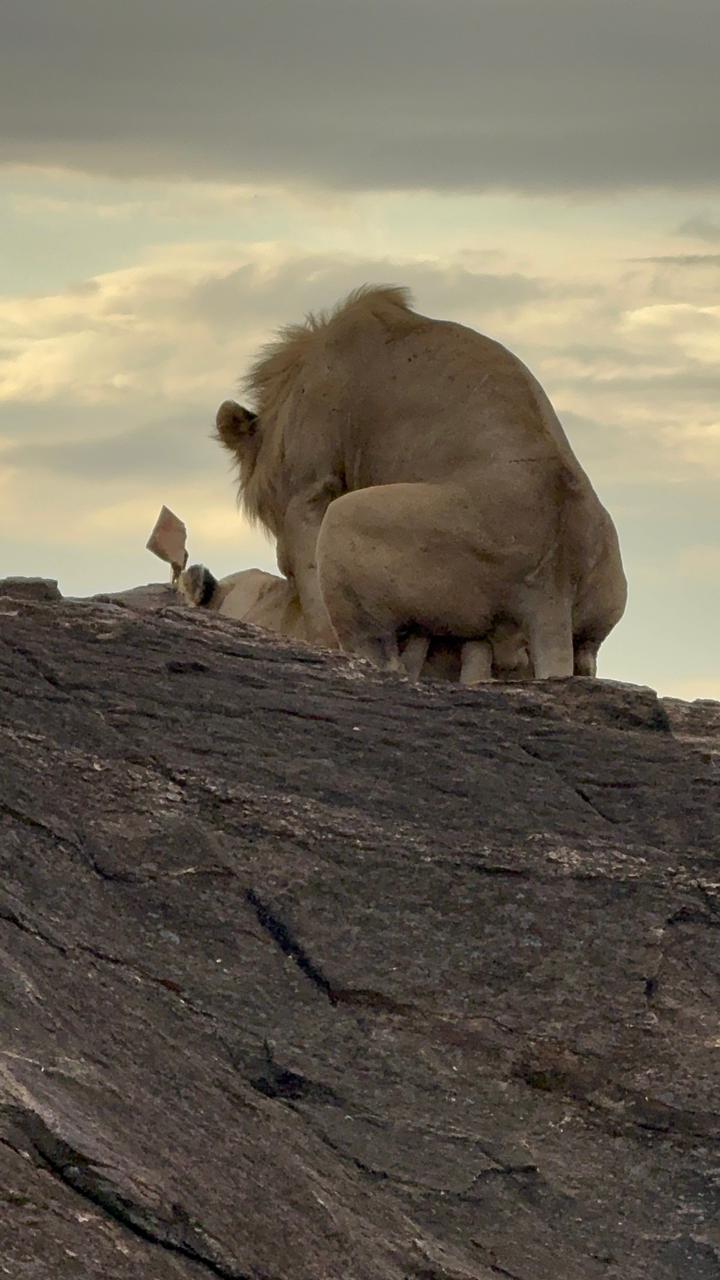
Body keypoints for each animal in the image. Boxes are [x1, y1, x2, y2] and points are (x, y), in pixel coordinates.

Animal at [215, 285, 626, 679]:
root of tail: (555, 581)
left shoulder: (311, 488)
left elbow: (310, 579)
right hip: (594, 616)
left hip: (347, 519)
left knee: (381, 658)